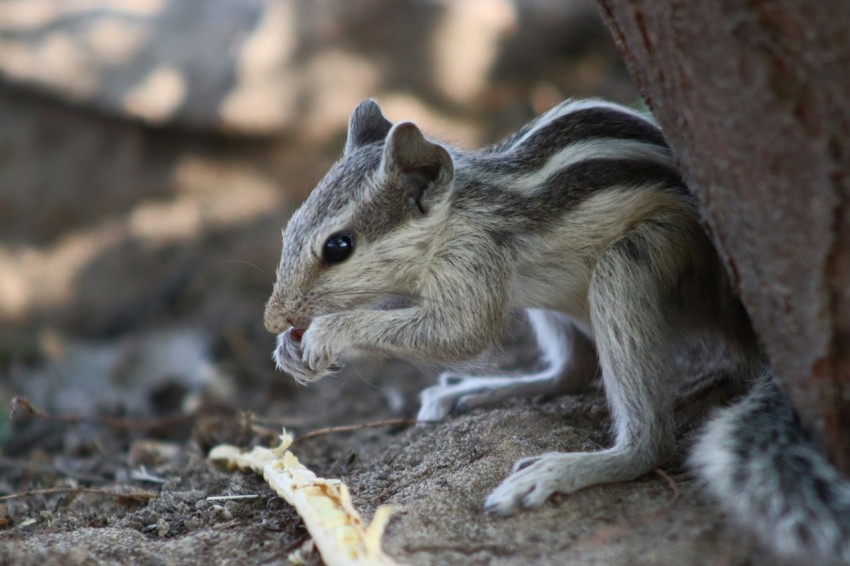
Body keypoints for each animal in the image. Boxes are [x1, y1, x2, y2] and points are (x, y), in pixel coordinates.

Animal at [264, 98, 848, 564]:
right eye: (288, 229)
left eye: (338, 247)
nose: (273, 317)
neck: (458, 214)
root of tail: (737, 316)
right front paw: (288, 349)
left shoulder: (474, 259)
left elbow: (463, 333)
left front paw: (326, 333)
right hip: (556, 303)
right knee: (571, 372)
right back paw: (477, 392)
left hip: (634, 266)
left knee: (650, 443)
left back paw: (565, 469)